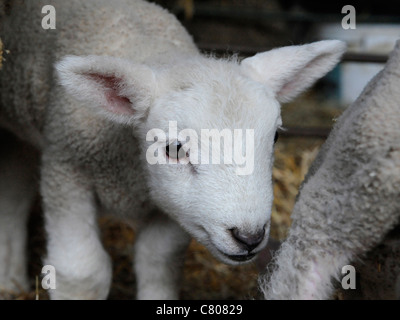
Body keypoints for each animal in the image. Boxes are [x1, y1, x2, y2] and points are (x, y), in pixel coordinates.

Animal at [0, 0, 344, 300]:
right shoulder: (65, 171)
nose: (249, 237)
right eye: (175, 148)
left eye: (274, 138)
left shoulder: (176, 205)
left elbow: (156, 261)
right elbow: (83, 272)